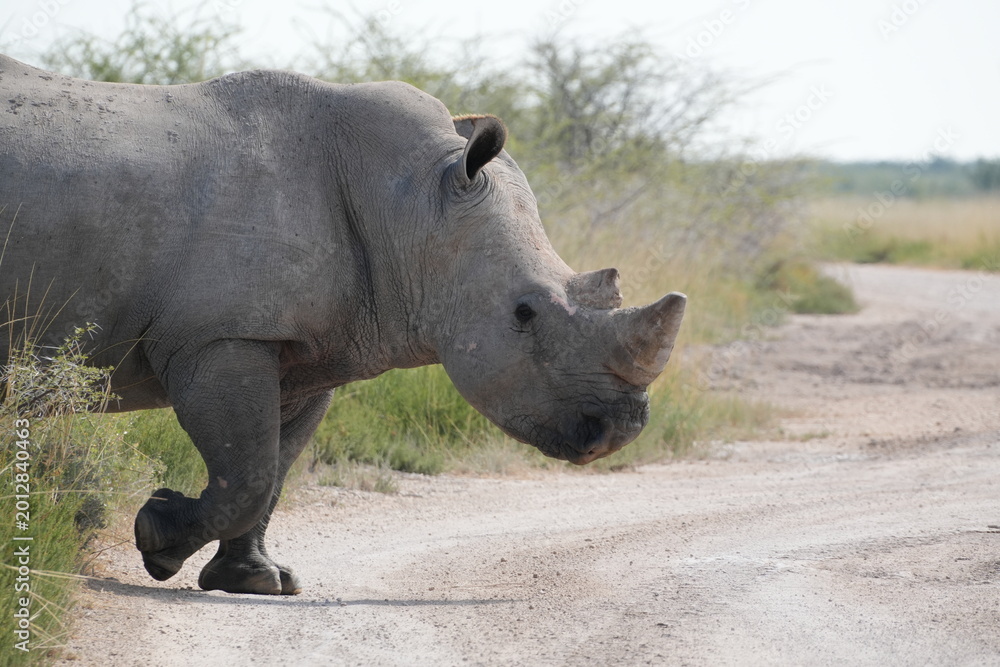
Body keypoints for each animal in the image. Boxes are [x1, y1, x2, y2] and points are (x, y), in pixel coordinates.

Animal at [0, 54, 685, 595]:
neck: (409, 204)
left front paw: (256, 582)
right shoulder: (220, 334)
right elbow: (249, 472)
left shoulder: (306, 351)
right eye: (524, 313)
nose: (621, 430)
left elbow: (273, 469)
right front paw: (156, 538)